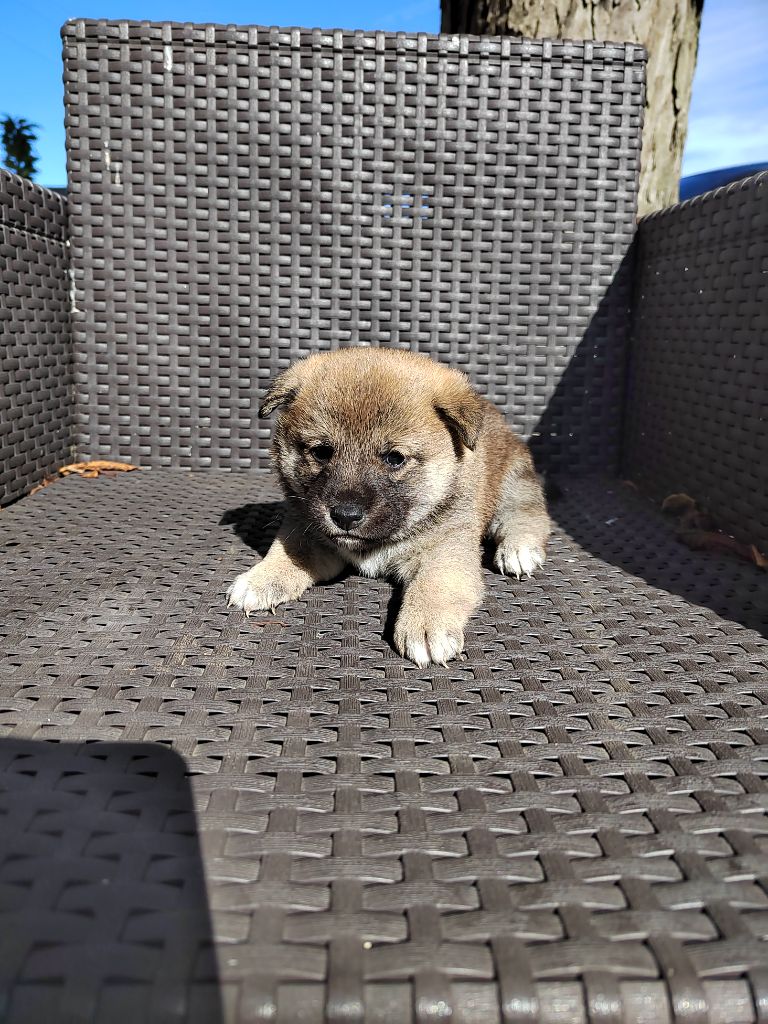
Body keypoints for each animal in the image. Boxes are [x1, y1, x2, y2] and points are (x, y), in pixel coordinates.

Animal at [227, 347, 551, 667]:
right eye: (321, 452)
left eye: (395, 458)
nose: (345, 516)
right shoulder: (305, 529)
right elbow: (289, 554)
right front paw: (261, 580)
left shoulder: (447, 549)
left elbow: (435, 584)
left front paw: (426, 624)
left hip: (514, 483)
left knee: (528, 515)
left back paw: (518, 550)